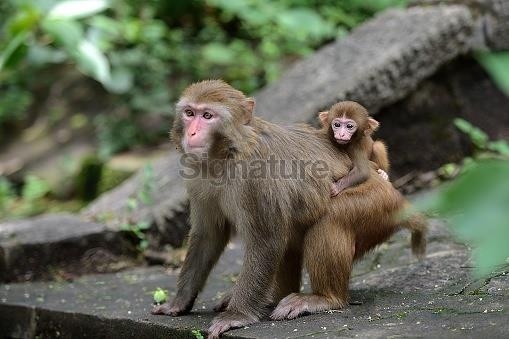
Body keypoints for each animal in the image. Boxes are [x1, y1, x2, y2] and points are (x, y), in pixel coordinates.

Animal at [152, 80, 424, 339]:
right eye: (189, 113)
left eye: (207, 116)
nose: (192, 131)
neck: (228, 153)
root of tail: (393, 191)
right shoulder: (197, 176)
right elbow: (208, 236)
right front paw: (179, 302)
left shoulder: (257, 174)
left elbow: (266, 240)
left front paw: (237, 316)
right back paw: (273, 297)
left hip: (375, 202)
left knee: (330, 218)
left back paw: (324, 298)